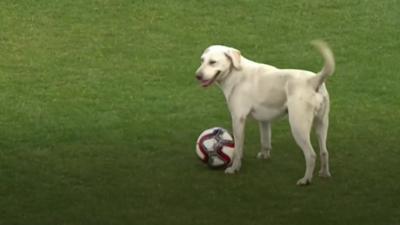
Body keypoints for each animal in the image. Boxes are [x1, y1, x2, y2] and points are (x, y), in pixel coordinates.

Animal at [195, 40, 334, 185]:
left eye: (212, 62)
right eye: (202, 60)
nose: (197, 76)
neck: (236, 74)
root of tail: (314, 80)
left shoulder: (238, 119)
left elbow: (238, 149)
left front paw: (234, 168)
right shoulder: (264, 120)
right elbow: (265, 141)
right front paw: (264, 156)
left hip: (298, 127)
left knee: (311, 155)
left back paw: (305, 180)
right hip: (322, 125)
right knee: (324, 152)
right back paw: (324, 174)